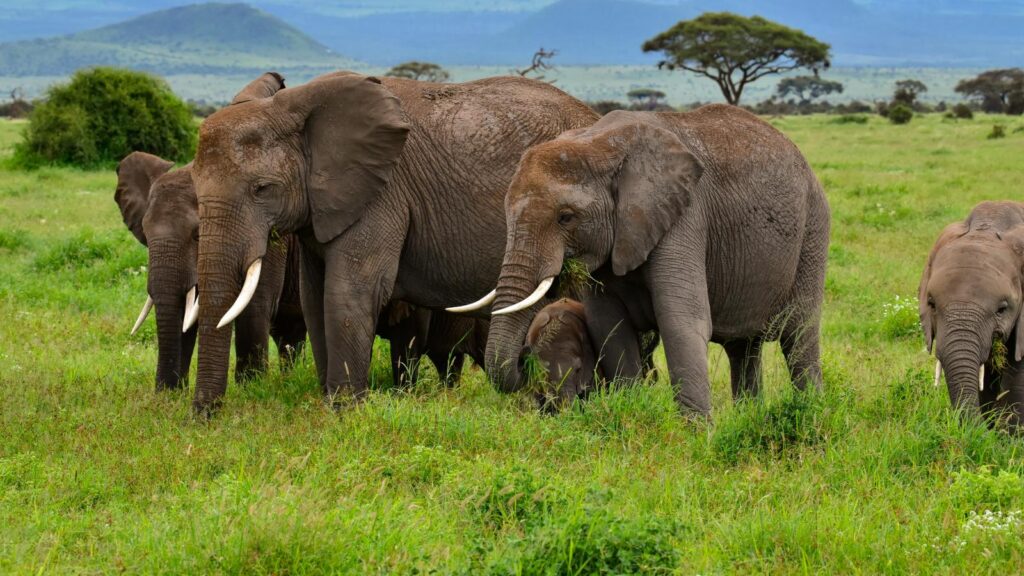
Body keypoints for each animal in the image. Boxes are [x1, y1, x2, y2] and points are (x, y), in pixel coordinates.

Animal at [114, 151, 307, 390]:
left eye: (198, 235)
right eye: (146, 235)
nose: (164, 390)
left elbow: (255, 306)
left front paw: (250, 389)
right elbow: (186, 313)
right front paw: (172, 395)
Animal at [188, 71, 597, 412]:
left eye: (261, 189)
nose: (206, 415)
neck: (297, 108)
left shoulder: (382, 195)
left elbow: (348, 293)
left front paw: (344, 412)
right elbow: (314, 297)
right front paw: (330, 403)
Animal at [456, 106, 830, 417]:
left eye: (566, 217)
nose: (525, 357)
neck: (598, 144)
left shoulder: (685, 216)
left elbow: (682, 321)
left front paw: (694, 436)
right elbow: (610, 326)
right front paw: (633, 412)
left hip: (813, 231)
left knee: (799, 336)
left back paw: (811, 414)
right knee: (744, 348)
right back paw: (748, 416)